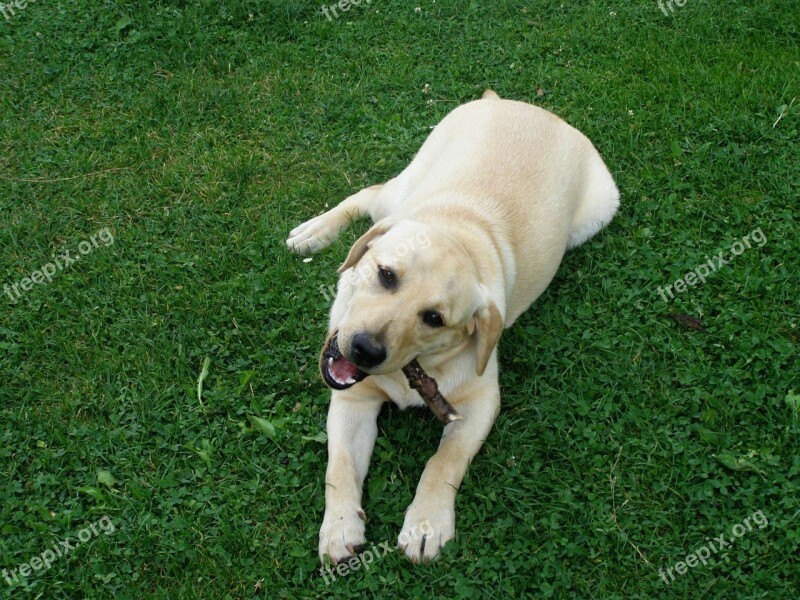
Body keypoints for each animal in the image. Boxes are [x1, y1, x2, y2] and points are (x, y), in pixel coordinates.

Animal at [288, 89, 620, 564]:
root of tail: (524, 105)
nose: (365, 350)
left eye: (434, 318)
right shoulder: (352, 401)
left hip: (598, 212)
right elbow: (341, 466)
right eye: (386, 275)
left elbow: (443, 461)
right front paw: (338, 527)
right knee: (371, 194)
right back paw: (315, 230)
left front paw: (426, 524)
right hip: (408, 181)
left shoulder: (480, 401)